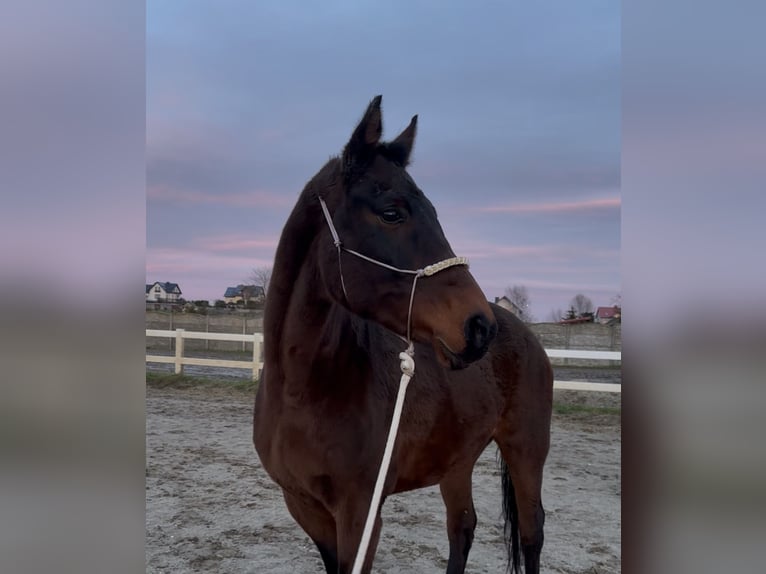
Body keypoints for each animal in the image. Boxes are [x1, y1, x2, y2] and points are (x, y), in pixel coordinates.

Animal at [253, 96, 553, 574]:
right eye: (392, 212)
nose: (479, 325)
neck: (303, 389)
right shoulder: (304, 507)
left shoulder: (361, 515)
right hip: (458, 458)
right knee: (462, 526)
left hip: (526, 449)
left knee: (531, 532)